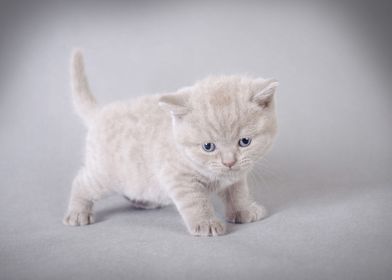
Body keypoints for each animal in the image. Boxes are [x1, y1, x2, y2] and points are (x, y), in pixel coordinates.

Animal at [63, 50, 278, 236]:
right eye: (208, 146)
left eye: (245, 141)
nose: (229, 162)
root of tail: (100, 112)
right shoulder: (179, 178)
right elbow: (195, 201)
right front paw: (206, 223)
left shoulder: (236, 177)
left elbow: (238, 193)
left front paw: (244, 211)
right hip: (106, 174)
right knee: (81, 182)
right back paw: (77, 213)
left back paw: (144, 201)